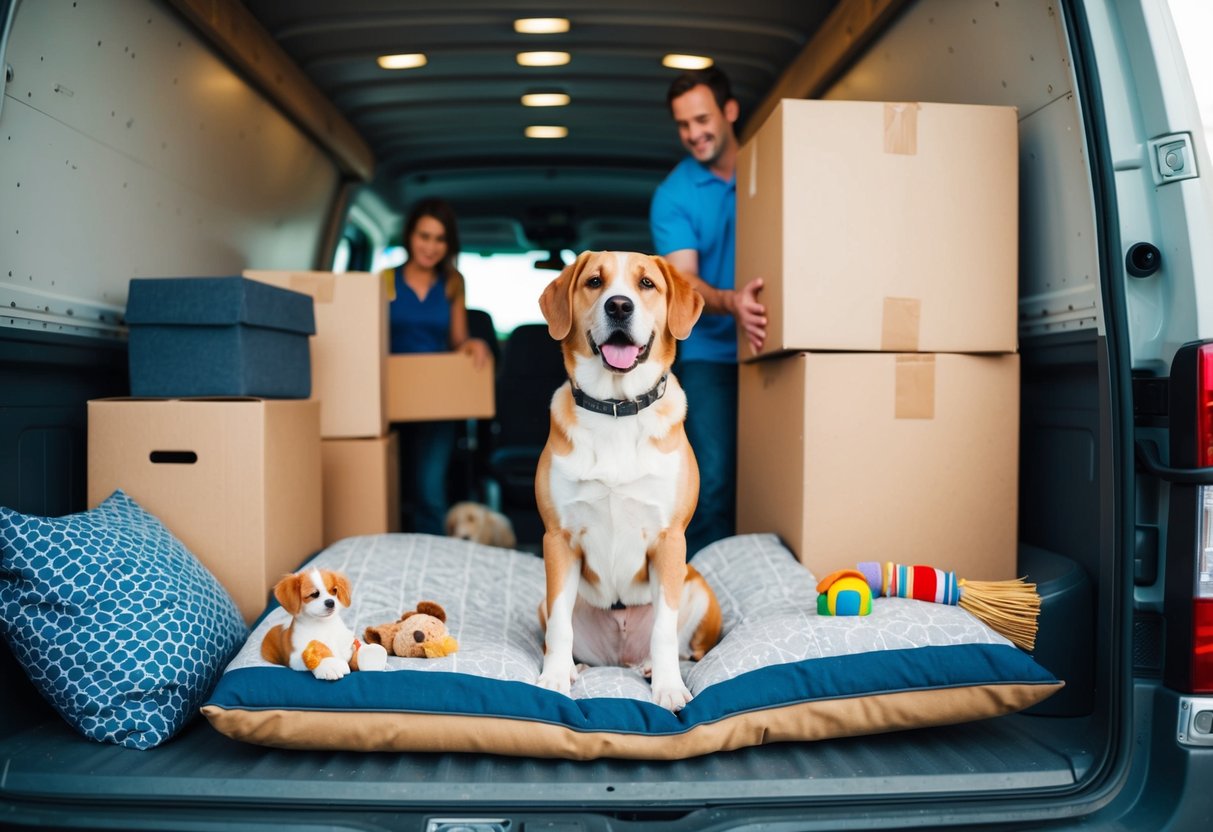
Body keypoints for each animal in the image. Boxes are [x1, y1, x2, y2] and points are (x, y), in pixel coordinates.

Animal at [260, 570, 388, 679]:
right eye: (314, 594)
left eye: (334, 591)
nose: (331, 602)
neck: (324, 625)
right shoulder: (295, 657)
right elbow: (316, 655)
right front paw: (329, 665)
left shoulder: (346, 641)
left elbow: (354, 647)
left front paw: (372, 655)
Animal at [533, 251, 718, 713]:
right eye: (595, 282)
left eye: (646, 284)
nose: (619, 306)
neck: (616, 407)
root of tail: (621, 658)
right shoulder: (558, 540)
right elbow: (559, 628)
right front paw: (555, 678)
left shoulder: (670, 541)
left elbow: (665, 629)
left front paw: (668, 687)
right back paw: (577, 667)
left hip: (698, 588)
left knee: (686, 647)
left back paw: (651, 667)